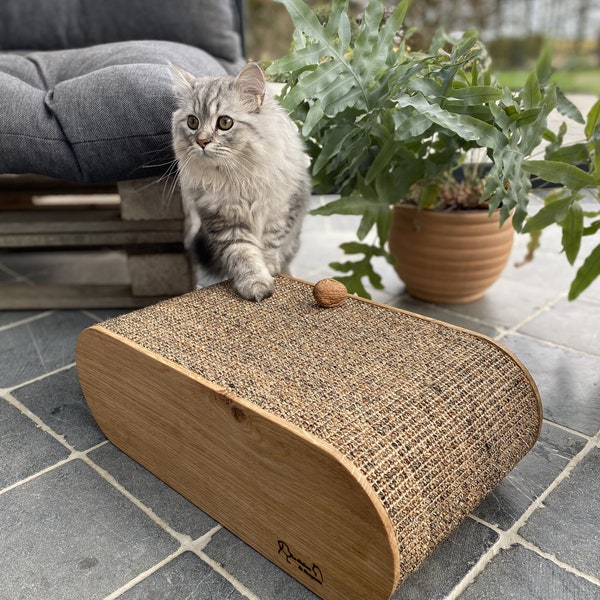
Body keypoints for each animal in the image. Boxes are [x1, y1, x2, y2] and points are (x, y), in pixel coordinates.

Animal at [169, 62, 310, 300]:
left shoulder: (282, 209)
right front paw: (256, 284)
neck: (238, 177)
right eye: (192, 122)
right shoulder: (225, 221)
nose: (202, 142)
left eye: (225, 122)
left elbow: (271, 243)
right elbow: (244, 255)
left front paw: (270, 268)